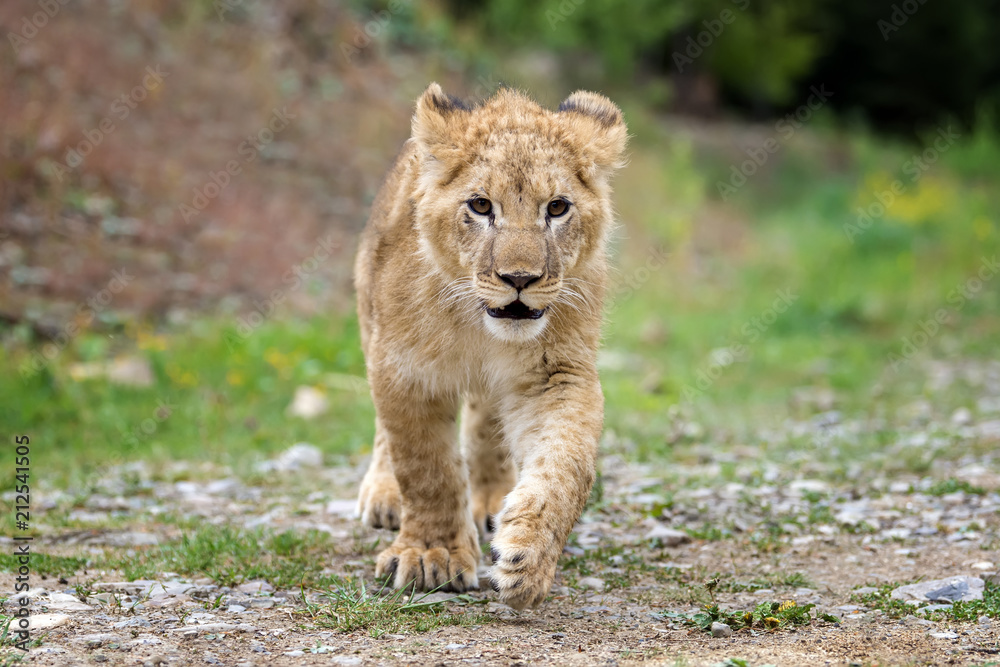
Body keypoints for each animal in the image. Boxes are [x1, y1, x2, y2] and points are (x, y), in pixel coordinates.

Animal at [354, 82, 627, 609]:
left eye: (557, 208)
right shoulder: (405, 369)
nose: (519, 279)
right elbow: (426, 467)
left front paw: (528, 556)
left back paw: (492, 502)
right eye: (481, 206)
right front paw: (432, 555)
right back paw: (385, 495)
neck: (479, 328)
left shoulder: (556, 373)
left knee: (487, 426)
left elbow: (567, 465)